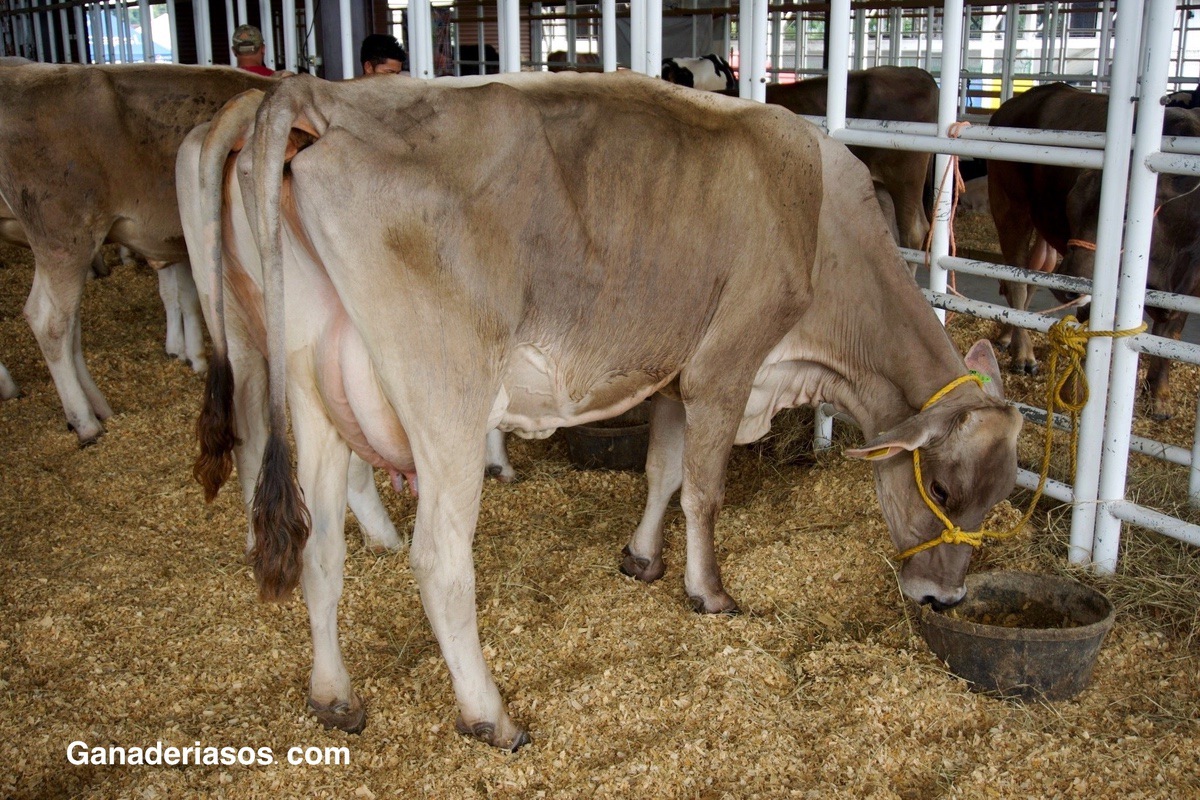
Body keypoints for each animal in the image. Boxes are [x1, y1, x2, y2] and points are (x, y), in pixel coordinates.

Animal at [0, 62, 273, 443]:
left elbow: (186, 297)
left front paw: (189, 354)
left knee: (70, 327)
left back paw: (98, 406)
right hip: (64, 238)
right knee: (50, 321)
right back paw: (85, 421)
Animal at [984, 81, 1200, 419]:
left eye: (1126, 214)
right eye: (1071, 204)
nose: (1072, 281)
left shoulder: (1191, 282)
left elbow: (1170, 334)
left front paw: (1160, 396)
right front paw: (1076, 391)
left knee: (1030, 278)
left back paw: (1008, 336)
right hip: (1010, 207)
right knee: (1016, 282)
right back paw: (1024, 355)